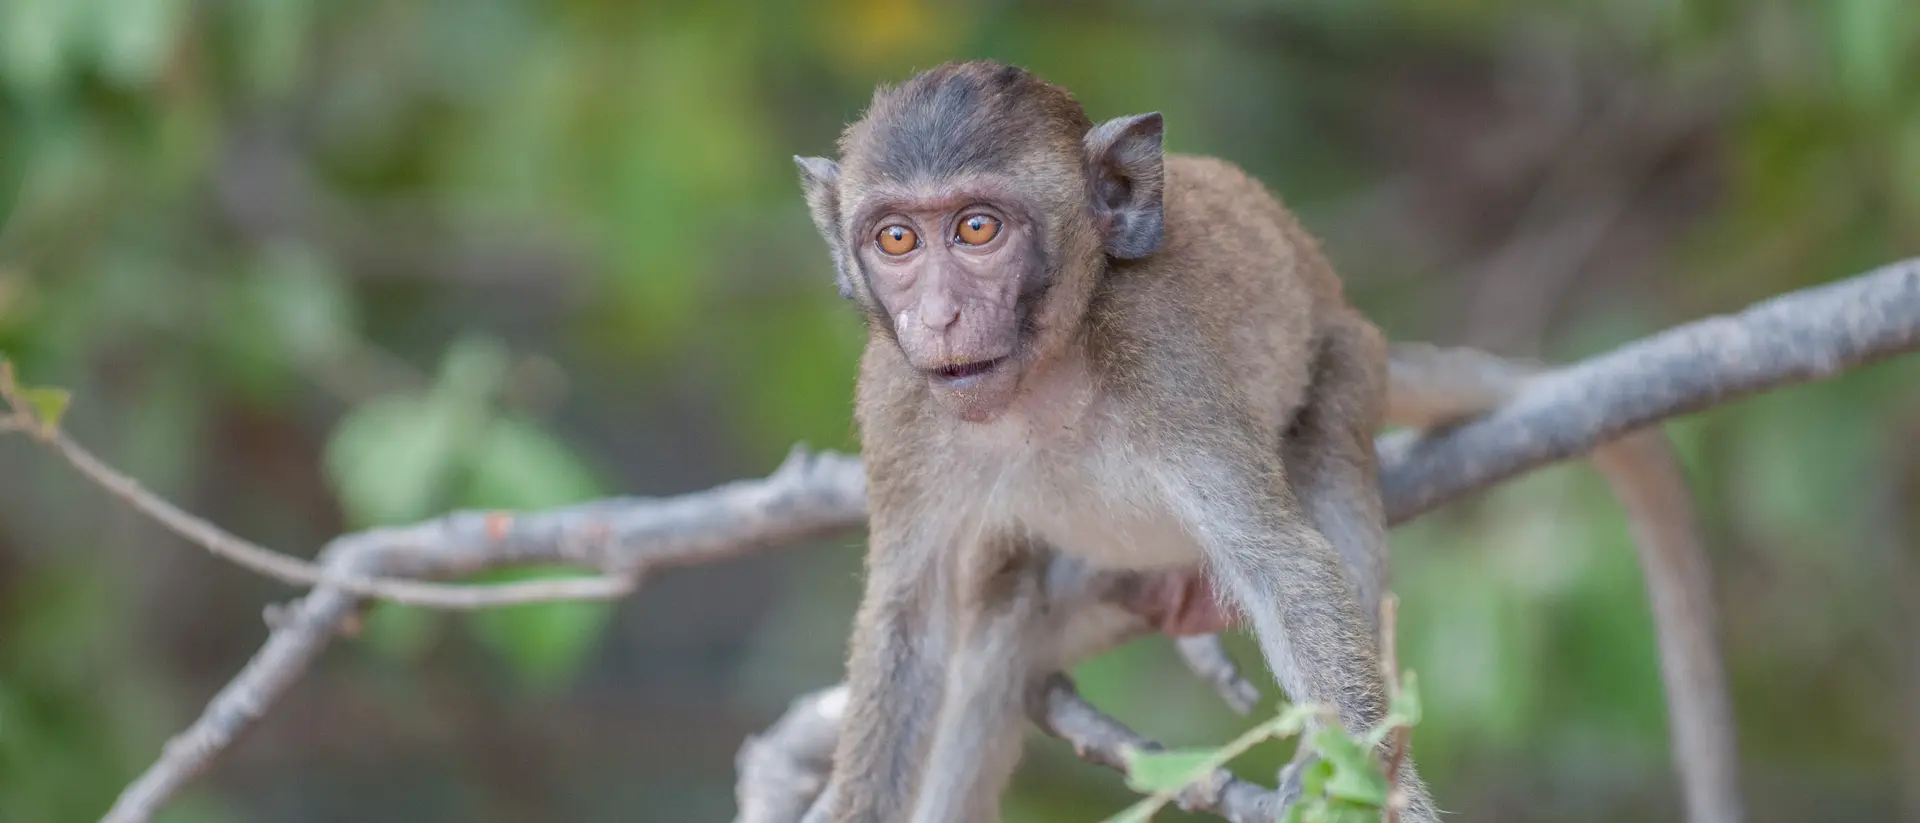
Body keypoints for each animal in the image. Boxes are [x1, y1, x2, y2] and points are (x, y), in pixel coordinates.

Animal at [795, 60, 1437, 822]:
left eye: (977, 228)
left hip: (1350, 353)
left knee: (1327, 442)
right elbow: (909, 621)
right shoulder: (895, 402)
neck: (1041, 382)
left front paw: (1368, 785)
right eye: (896, 240)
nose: (938, 316)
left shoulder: (1161, 354)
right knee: (996, 610)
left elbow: (1288, 569)